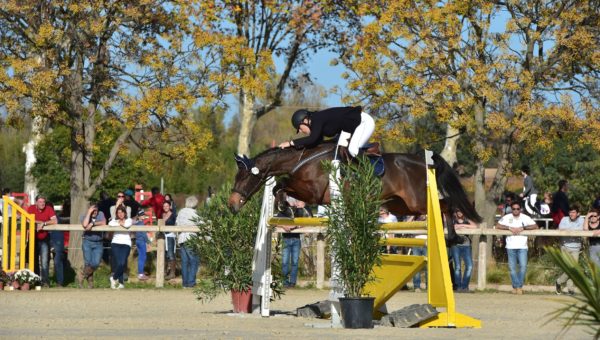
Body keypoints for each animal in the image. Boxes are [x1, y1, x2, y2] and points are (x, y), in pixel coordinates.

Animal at [227, 142, 480, 232]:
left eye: (243, 178)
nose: (231, 206)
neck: (303, 158)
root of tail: (421, 160)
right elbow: (278, 187)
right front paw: (285, 208)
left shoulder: (314, 193)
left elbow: (281, 185)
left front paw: (285, 207)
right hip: (401, 206)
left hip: (417, 201)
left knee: (447, 205)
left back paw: (453, 237)